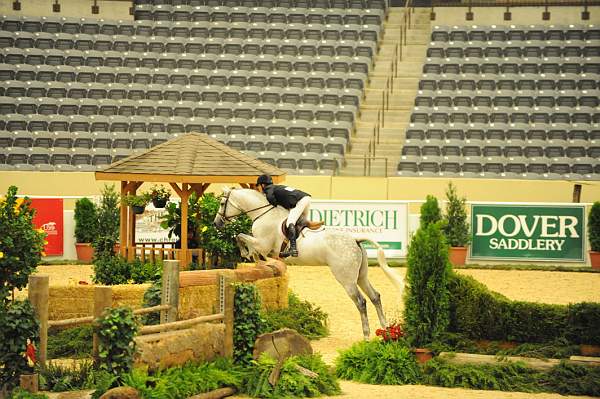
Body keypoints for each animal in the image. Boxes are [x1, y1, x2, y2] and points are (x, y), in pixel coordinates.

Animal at [213, 187, 406, 338]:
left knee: (361, 302)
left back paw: (366, 335)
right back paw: (385, 329)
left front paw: (247, 253)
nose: (216, 223)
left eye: (222, 204)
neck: (262, 213)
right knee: (375, 296)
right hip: (361, 276)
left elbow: (240, 236)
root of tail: (355, 239)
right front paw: (252, 256)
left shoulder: (262, 243)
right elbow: (242, 238)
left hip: (346, 279)